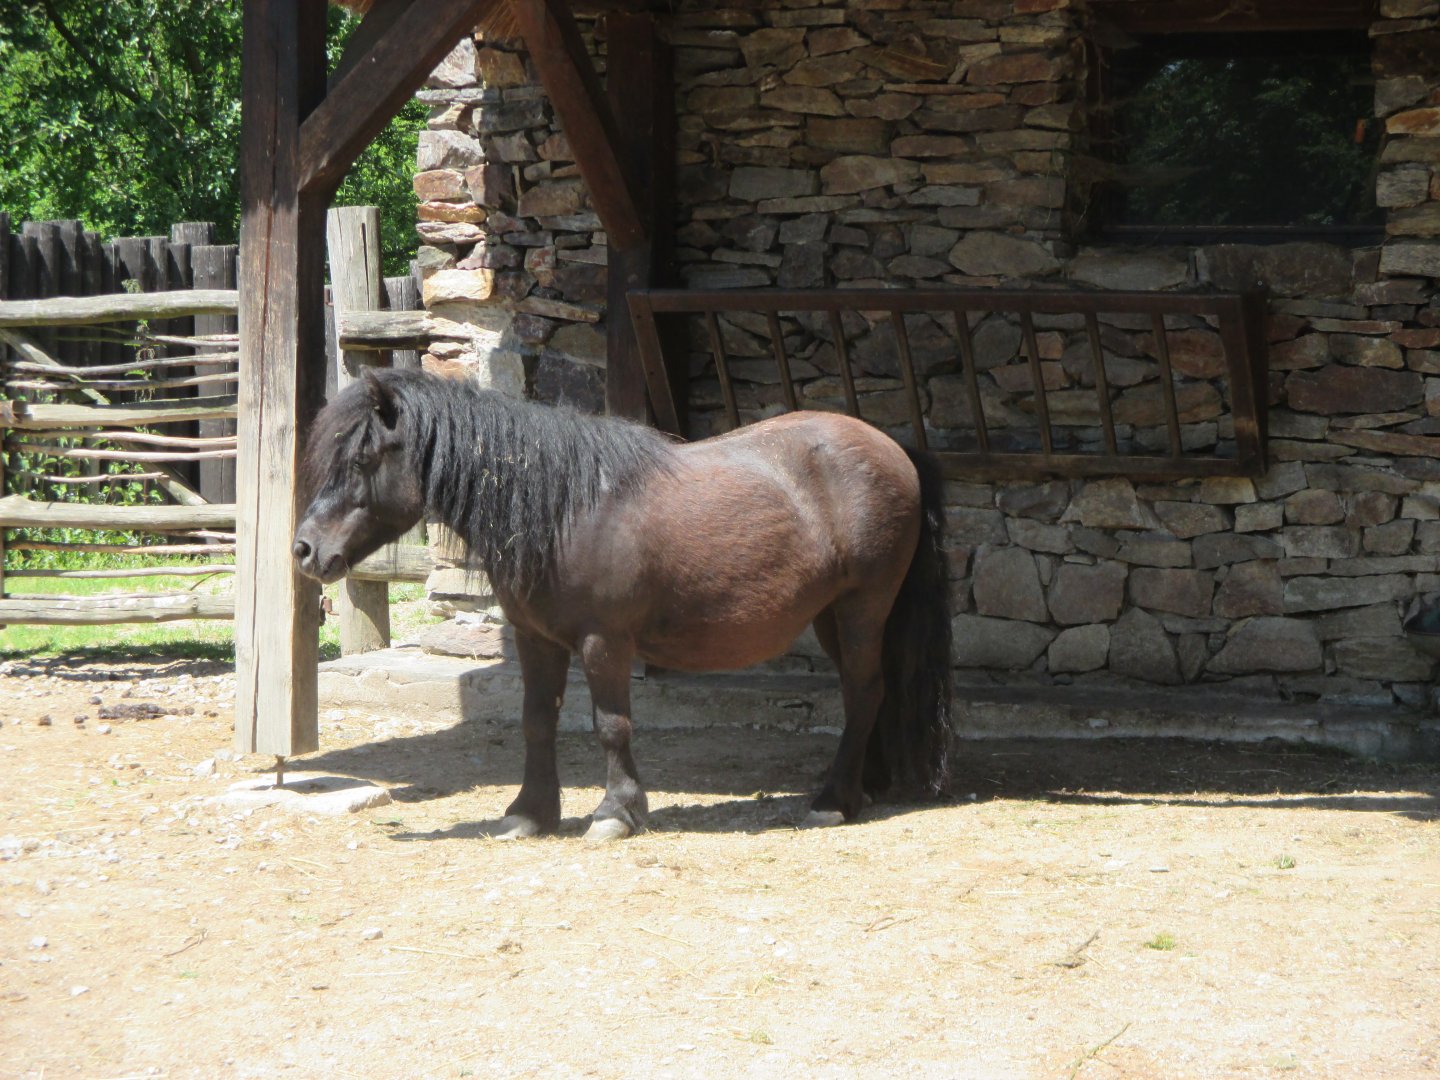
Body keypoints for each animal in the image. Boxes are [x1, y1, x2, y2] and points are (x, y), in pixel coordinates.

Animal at [292, 367, 953, 841]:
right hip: (832, 614)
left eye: (362, 460)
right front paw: (528, 814)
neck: (564, 509)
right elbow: (537, 721)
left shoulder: (603, 641)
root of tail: (898, 452)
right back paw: (863, 786)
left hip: (864, 605)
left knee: (864, 689)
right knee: (868, 690)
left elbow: (611, 725)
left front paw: (615, 812)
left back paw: (832, 801)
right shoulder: (535, 640)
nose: (305, 550)